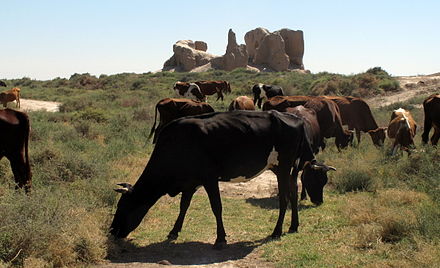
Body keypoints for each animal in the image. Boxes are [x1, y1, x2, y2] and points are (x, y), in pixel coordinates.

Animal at [110, 111, 334, 249]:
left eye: (123, 206)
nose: (112, 230)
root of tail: (295, 118)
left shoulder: (209, 178)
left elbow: (216, 207)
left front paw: (220, 238)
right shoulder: (191, 182)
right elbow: (184, 206)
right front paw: (174, 231)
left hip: (284, 167)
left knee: (284, 199)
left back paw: (277, 231)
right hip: (290, 169)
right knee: (294, 194)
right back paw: (293, 226)